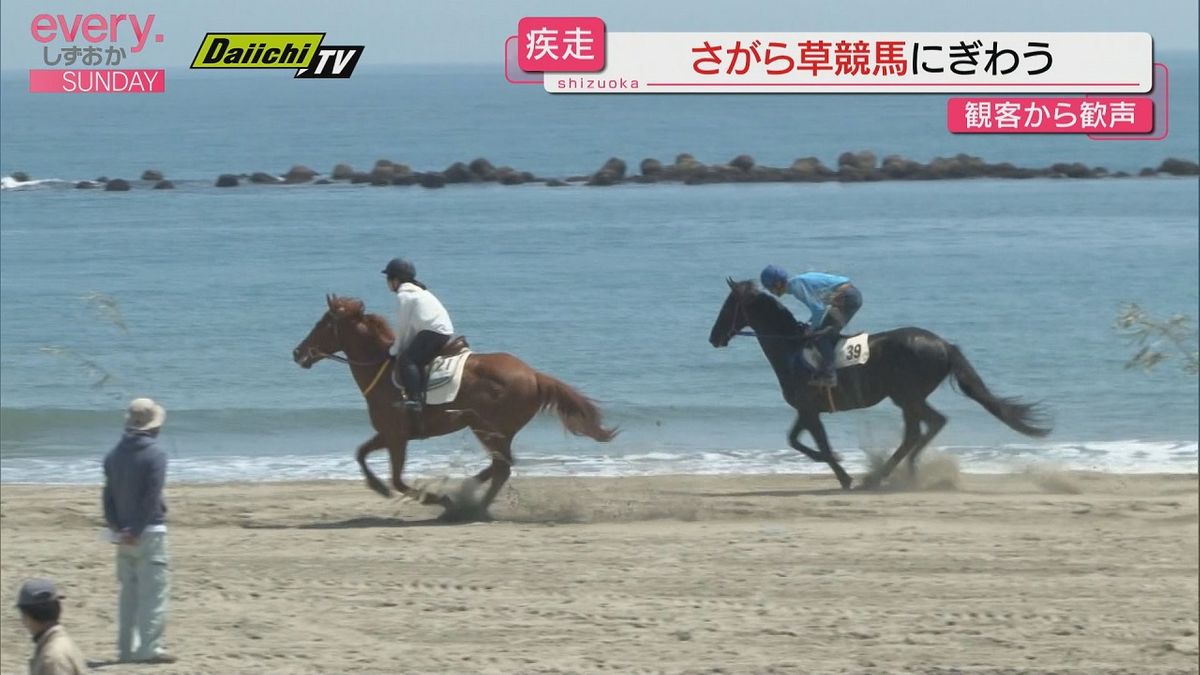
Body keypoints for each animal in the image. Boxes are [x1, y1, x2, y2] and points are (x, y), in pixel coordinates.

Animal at [294, 294, 619, 509]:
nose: (297, 353)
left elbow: (397, 479)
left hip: (488, 429)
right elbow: (360, 453)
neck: (381, 370)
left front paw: (433, 497)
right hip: (493, 431)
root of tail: (534, 375)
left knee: (502, 468)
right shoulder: (388, 433)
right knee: (500, 465)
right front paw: (379, 488)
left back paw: (472, 507)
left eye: (323, 323)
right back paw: (470, 490)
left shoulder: (397, 436)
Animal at [705, 278, 1046, 487]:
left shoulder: (809, 410)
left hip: (906, 396)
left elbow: (817, 444)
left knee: (919, 430)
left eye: (727, 306)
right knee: (927, 426)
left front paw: (844, 475)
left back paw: (881, 475)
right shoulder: (806, 410)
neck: (791, 348)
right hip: (908, 397)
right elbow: (795, 440)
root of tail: (944, 345)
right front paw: (837, 464)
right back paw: (905, 470)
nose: (713, 337)